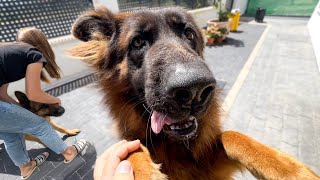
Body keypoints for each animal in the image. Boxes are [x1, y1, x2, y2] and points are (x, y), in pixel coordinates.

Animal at [70, 6, 320, 179]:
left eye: (189, 34)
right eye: (138, 42)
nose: (195, 89)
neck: (174, 143)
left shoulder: (206, 165)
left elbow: (232, 135)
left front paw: (288, 168)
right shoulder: (130, 141)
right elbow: (133, 151)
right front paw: (147, 172)